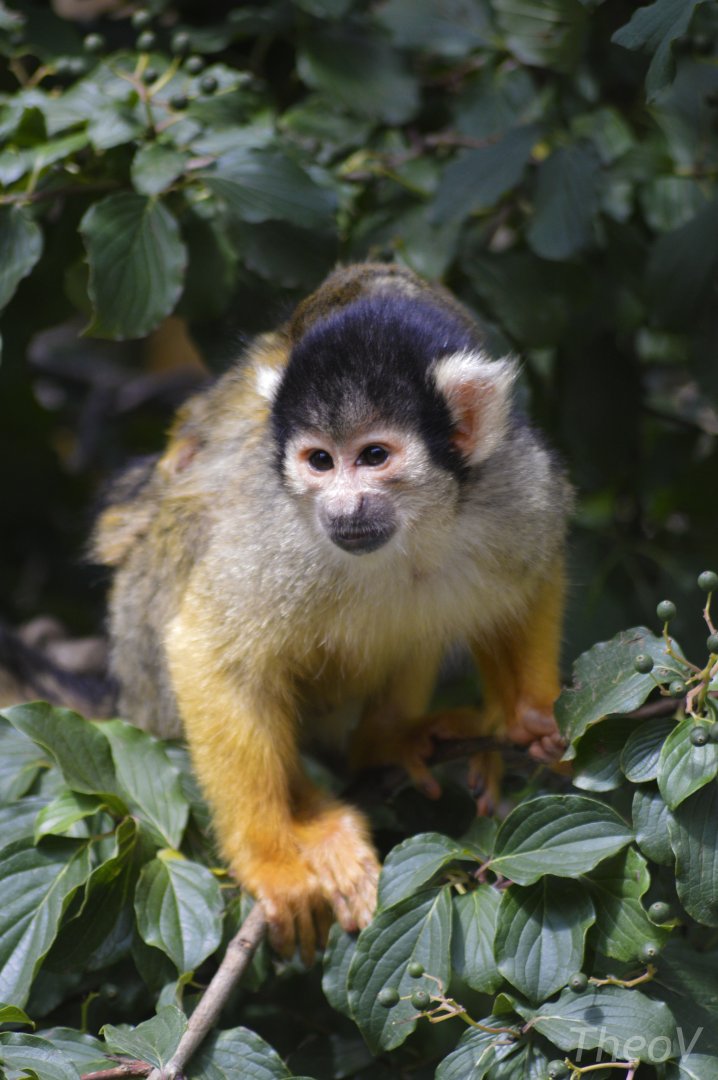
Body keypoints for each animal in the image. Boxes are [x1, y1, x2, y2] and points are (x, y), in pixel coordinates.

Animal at [91, 263, 572, 961]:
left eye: (374, 456)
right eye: (320, 461)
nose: (343, 508)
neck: (416, 524)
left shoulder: (514, 481)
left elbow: (532, 580)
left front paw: (526, 716)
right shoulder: (277, 526)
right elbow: (212, 651)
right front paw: (269, 861)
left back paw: (387, 740)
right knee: (187, 533)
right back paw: (313, 813)